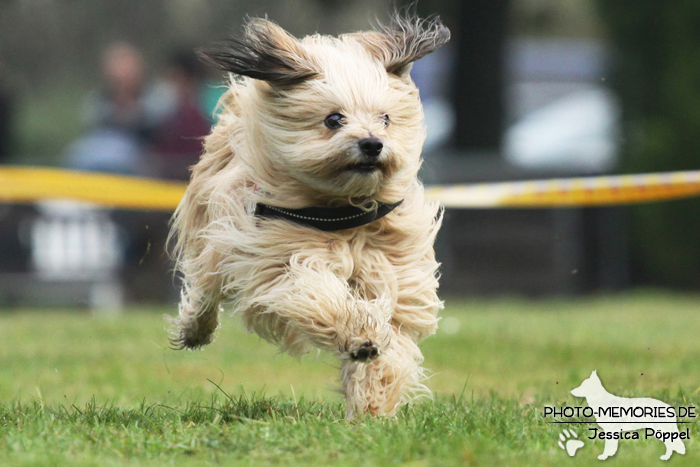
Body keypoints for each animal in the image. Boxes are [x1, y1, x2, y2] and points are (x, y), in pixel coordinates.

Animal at [172, 11, 452, 420]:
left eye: (385, 119)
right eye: (333, 119)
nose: (372, 143)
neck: (343, 212)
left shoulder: (391, 273)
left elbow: (392, 342)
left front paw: (372, 407)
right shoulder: (277, 257)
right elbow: (316, 294)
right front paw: (359, 336)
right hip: (215, 235)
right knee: (206, 288)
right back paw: (195, 329)